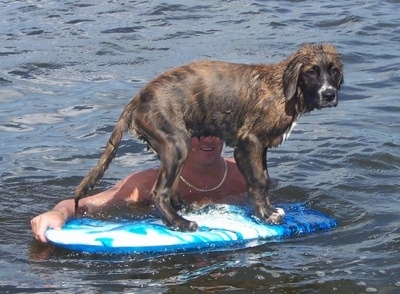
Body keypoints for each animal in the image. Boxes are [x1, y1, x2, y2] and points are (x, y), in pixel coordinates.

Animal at [74, 43, 344, 232]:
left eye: (334, 71)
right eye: (312, 72)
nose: (329, 95)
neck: (283, 89)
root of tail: (135, 102)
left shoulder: (260, 148)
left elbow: (264, 179)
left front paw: (268, 210)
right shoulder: (249, 143)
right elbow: (259, 182)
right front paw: (266, 216)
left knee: (171, 190)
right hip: (177, 145)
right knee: (159, 193)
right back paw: (181, 224)